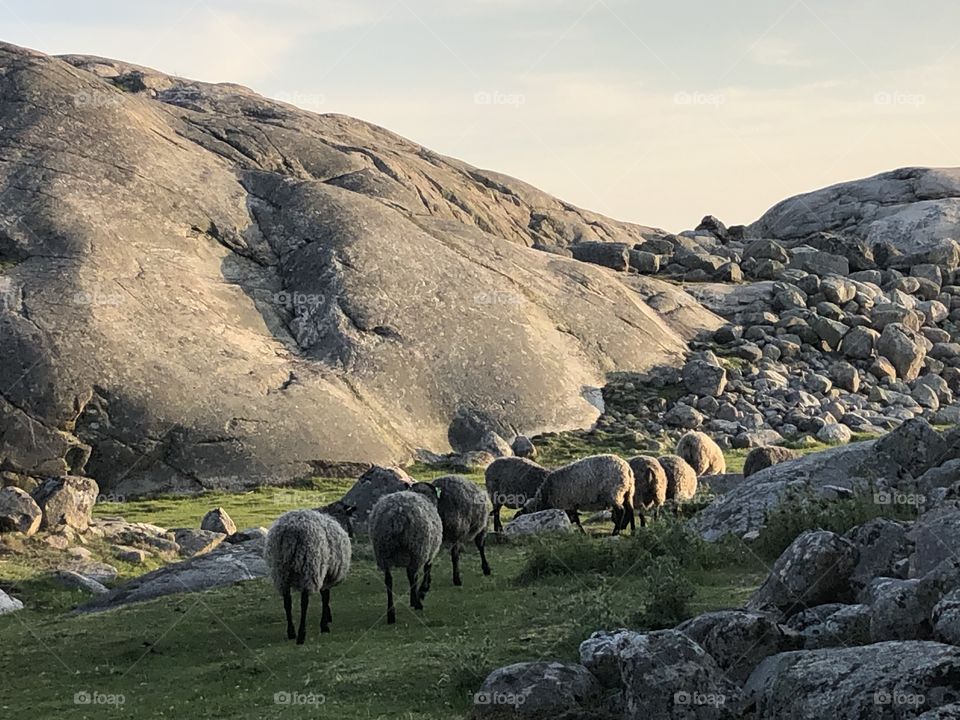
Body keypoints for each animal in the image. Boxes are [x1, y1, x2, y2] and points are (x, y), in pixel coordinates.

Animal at [264, 500, 354, 648]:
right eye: (347, 515)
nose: (352, 533)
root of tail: (290, 532)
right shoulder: (326, 573)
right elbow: (325, 597)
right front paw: (325, 624)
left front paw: (327, 618)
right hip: (309, 567)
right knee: (304, 602)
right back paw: (301, 635)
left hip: (281, 571)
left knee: (287, 601)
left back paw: (291, 632)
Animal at [370, 484, 444, 624]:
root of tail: (397, 514)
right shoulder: (430, 551)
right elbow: (426, 569)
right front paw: (422, 591)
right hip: (417, 547)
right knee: (412, 574)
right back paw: (417, 603)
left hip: (383, 552)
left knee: (389, 581)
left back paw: (391, 613)